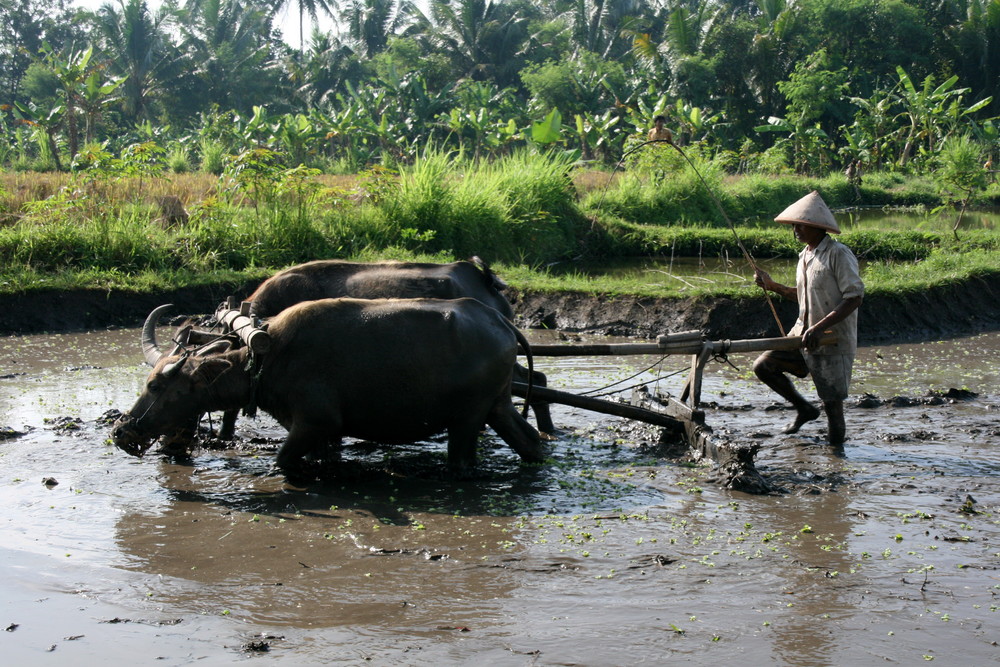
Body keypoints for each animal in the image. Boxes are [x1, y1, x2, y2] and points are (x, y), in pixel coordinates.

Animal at [115, 296, 548, 474]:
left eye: (155, 386)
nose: (122, 431)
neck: (268, 358)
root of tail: (501, 322)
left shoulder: (315, 424)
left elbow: (281, 461)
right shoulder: (318, 435)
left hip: (468, 419)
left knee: (462, 459)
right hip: (498, 406)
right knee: (530, 442)